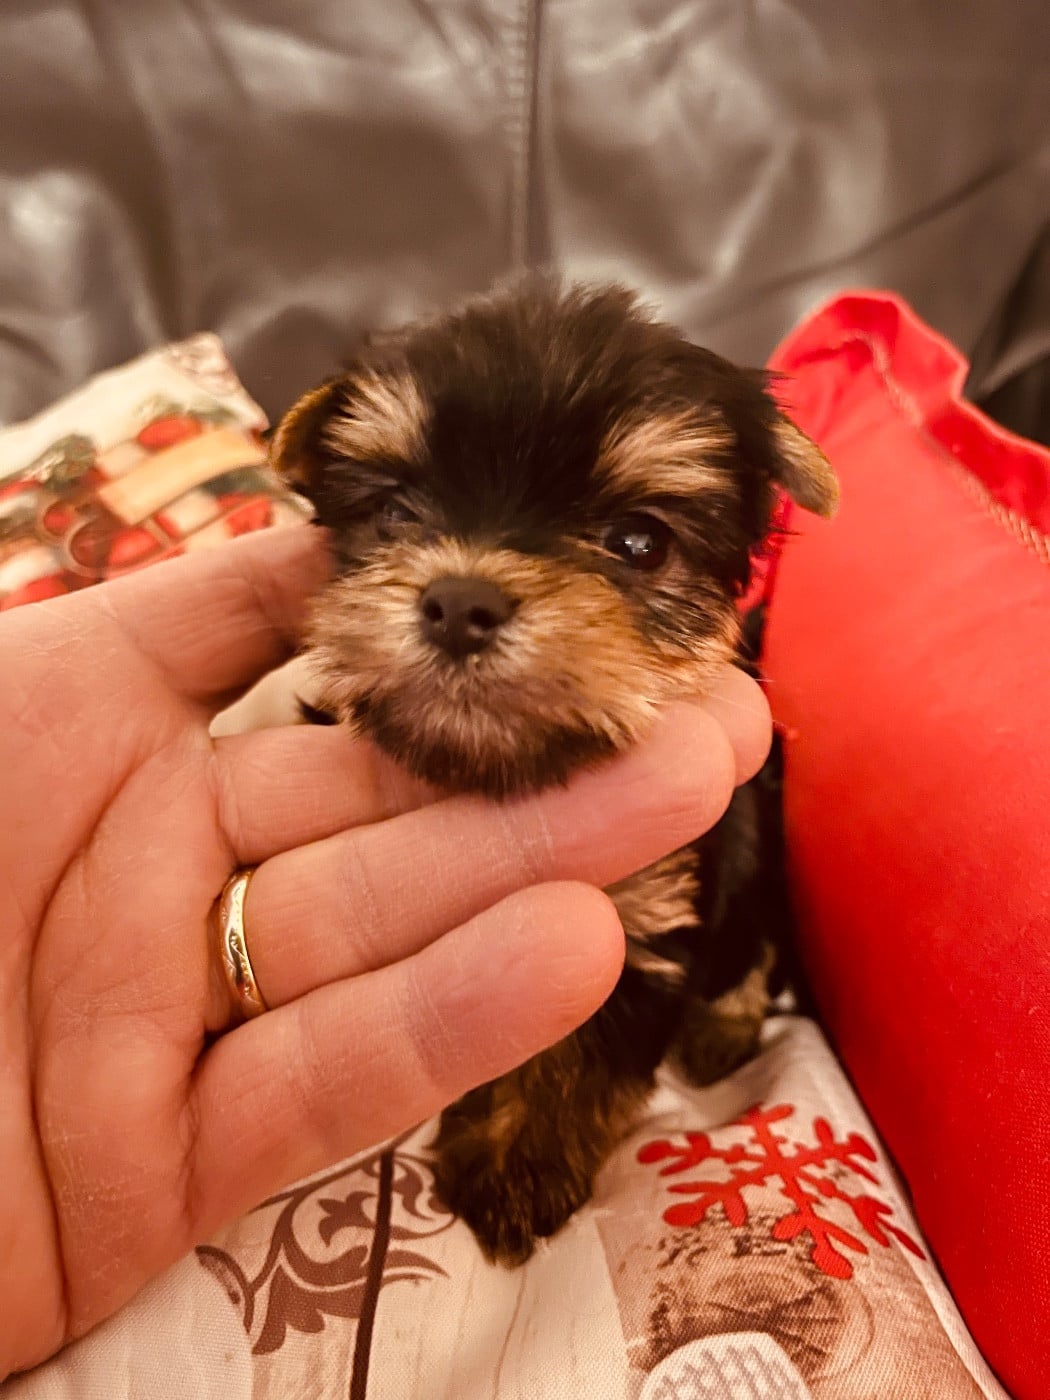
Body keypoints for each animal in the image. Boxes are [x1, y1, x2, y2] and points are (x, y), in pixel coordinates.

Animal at [267, 277, 838, 1265]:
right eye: (394, 514)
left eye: (638, 543)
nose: (459, 602)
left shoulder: (651, 912)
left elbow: (582, 1043)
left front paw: (516, 1160)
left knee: (759, 941)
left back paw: (721, 1031)